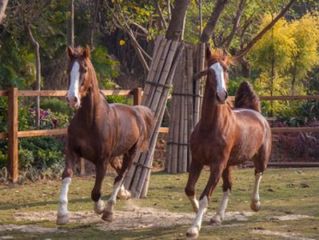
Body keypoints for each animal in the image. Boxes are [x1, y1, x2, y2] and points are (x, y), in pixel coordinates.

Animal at [56, 46, 155, 225]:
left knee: (120, 175)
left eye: (84, 69)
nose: (72, 99)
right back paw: (124, 193)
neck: (90, 120)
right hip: (114, 156)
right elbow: (66, 176)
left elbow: (96, 192)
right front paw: (62, 215)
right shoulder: (72, 151)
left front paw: (100, 208)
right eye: (68, 69)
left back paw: (109, 210)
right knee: (119, 170)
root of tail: (137, 111)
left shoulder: (101, 160)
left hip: (130, 153)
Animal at [185, 47, 272, 239]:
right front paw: (198, 212)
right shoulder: (197, 161)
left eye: (226, 70)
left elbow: (205, 196)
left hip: (260, 157)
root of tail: (256, 113)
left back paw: (255, 204)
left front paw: (194, 228)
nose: (222, 95)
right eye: (209, 71)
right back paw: (218, 217)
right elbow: (190, 190)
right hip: (228, 164)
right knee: (228, 186)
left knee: (258, 173)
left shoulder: (217, 165)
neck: (210, 127)